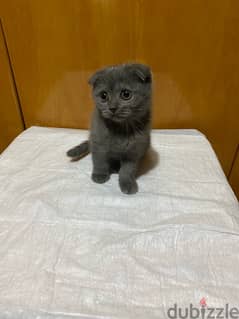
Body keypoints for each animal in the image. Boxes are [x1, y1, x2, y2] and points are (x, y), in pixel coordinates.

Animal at [67, 63, 152, 195]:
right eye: (103, 95)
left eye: (126, 94)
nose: (112, 107)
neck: (120, 129)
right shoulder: (98, 143)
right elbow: (99, 161)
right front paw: (100, 175)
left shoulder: (134, 150)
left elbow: (128, 170)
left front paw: (127, 183)